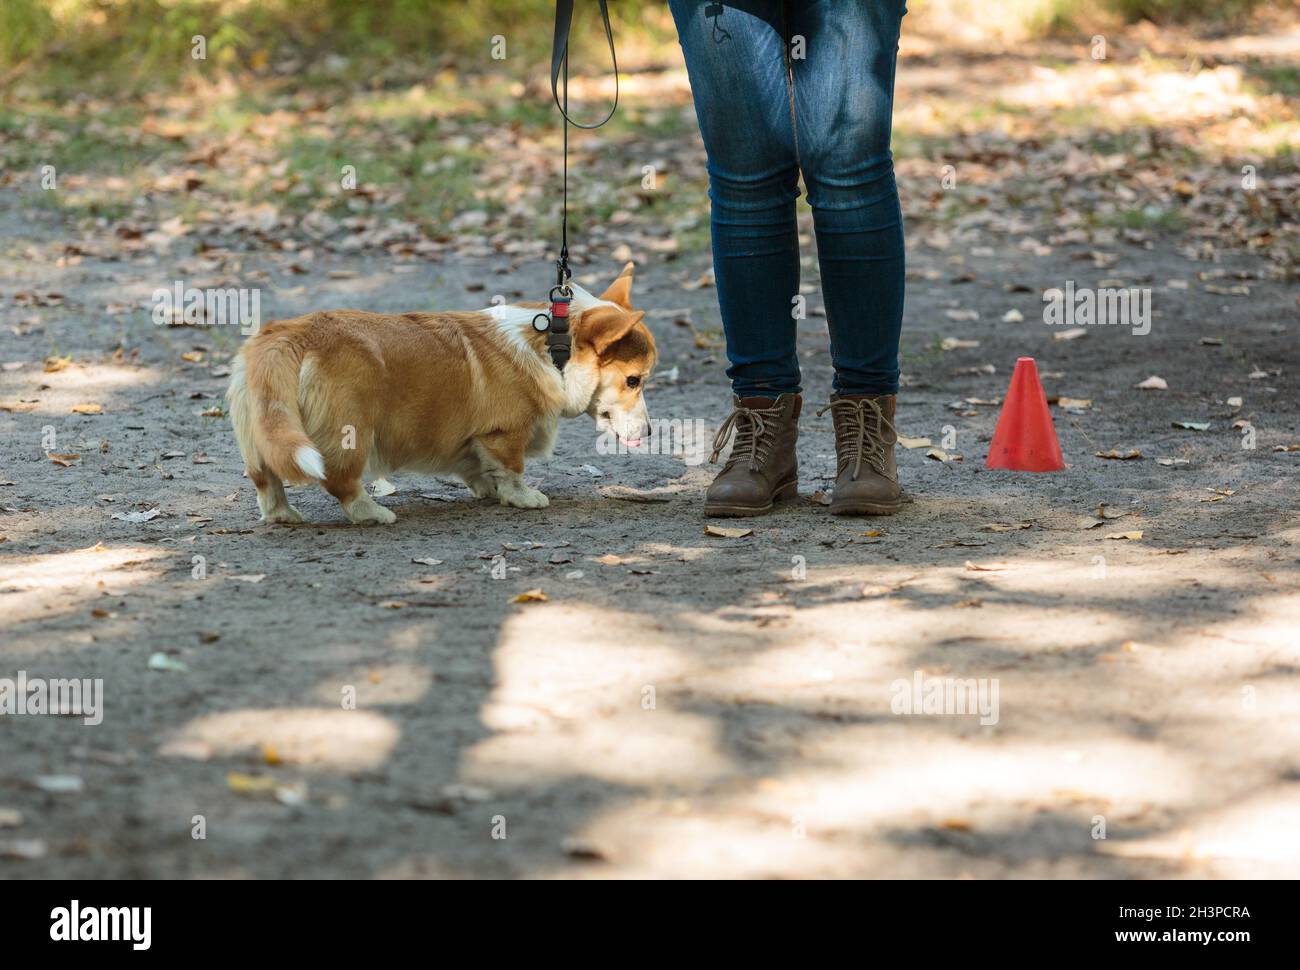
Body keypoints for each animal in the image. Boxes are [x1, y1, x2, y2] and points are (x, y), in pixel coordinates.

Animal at [228, 261, 655, 525]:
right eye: (634, 380)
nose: (652, 433)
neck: (554, 348)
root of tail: (288, 336)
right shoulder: (505, 433)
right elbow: (513, 469)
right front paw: (523, 497)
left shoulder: (474, 440)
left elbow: (478, 467)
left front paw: (489, 490)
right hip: (351, 433)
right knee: (340, 482)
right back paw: (372, 513)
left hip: (264, 429)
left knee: (265, 478)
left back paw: (282, 515)